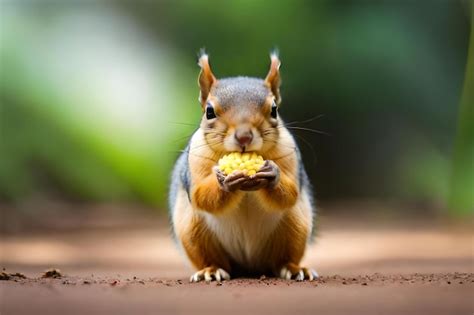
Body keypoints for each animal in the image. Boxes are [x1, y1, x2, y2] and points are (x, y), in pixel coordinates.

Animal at [168, 51, 316, 284]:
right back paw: (210, 270)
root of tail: (248, 266)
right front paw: (226, 181)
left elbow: (290, 194)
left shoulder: (289, 153)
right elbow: (200, 195)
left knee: (282, 259)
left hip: (296, 226)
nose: (244, 137)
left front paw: (272, 175)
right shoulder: (196, 159)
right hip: (192, 229)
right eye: (209, 111)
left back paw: (294, 268)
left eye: (274, 109)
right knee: (210, 257)